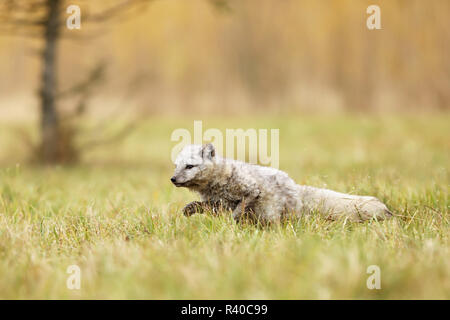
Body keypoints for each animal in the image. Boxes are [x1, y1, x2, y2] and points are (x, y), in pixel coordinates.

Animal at [171, 143, 392, 222]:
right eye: (176, 165)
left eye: (189, 166)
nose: (172, 179)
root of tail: (295, 188)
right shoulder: (217, 204)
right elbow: (200, 205)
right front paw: (188, 210)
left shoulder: (250, 190)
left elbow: (239, 208)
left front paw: (233, 222)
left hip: (271, 212)